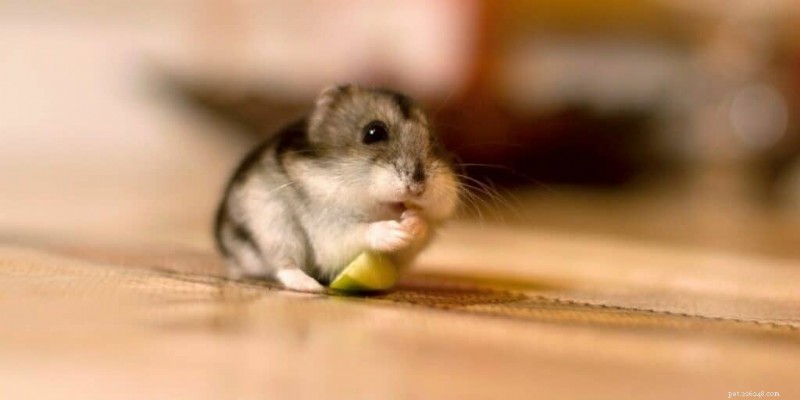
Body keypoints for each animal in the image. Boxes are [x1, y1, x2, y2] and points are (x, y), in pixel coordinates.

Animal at [214, 85, 460, 292]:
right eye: (374, 132)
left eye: (433, 139)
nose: (418, 187)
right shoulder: (328, 231)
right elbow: (357, 232)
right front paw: (395, 232)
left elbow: (420, 228)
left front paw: (413, 222)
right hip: (275, 225)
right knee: (284, 264)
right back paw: (311, 287)